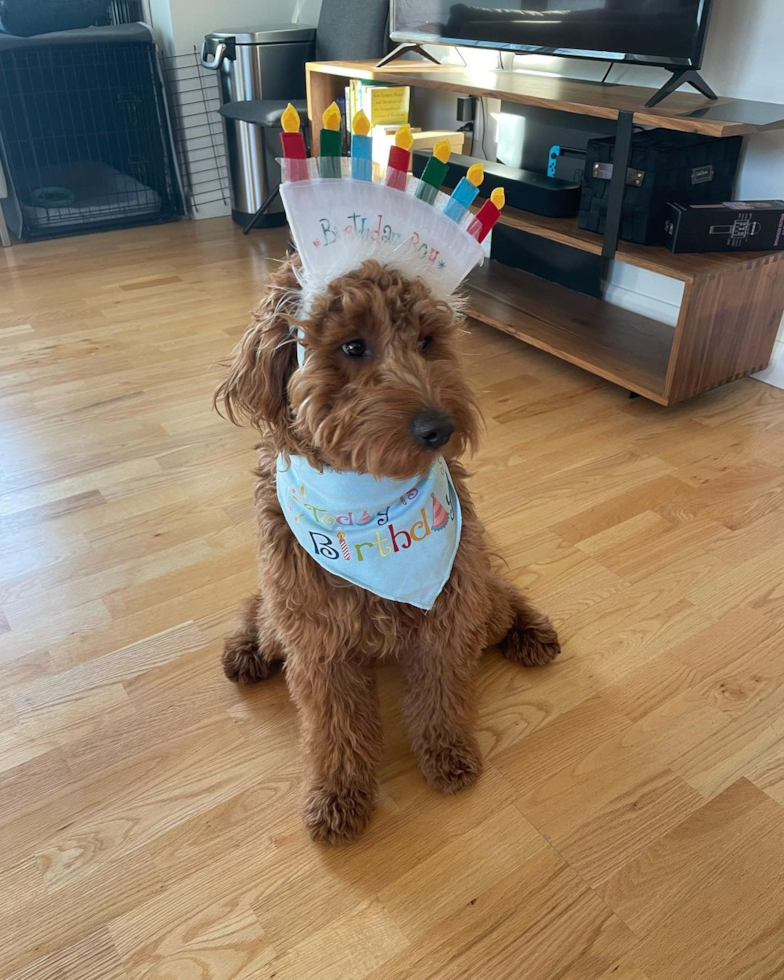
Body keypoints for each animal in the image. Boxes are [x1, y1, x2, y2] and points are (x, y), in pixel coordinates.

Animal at [214, 255, 556, 844]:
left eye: (427, 341)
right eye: (353, 346)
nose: (441, 427)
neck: (367, 504)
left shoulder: (447, 611)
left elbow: (441, 694)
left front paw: (447, 753)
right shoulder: (315, 638)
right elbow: (334, 726)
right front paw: (338, 795)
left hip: (475, 593)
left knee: (500, 593)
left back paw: (531, 631)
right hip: (284, 615)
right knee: (261, 612)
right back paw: (248, 649)